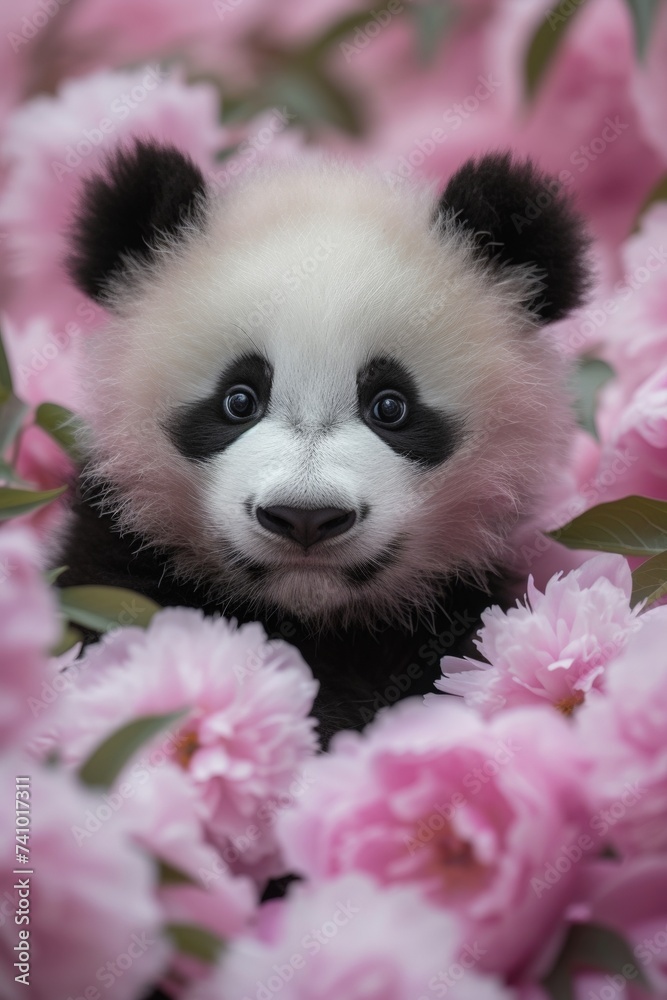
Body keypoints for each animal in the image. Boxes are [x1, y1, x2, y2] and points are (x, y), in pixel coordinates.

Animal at [56, 140, 589, 744]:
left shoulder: (458, 603)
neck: (311, 615)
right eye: (239, 400)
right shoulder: (118, 565)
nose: (305, 517)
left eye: (390, 406)